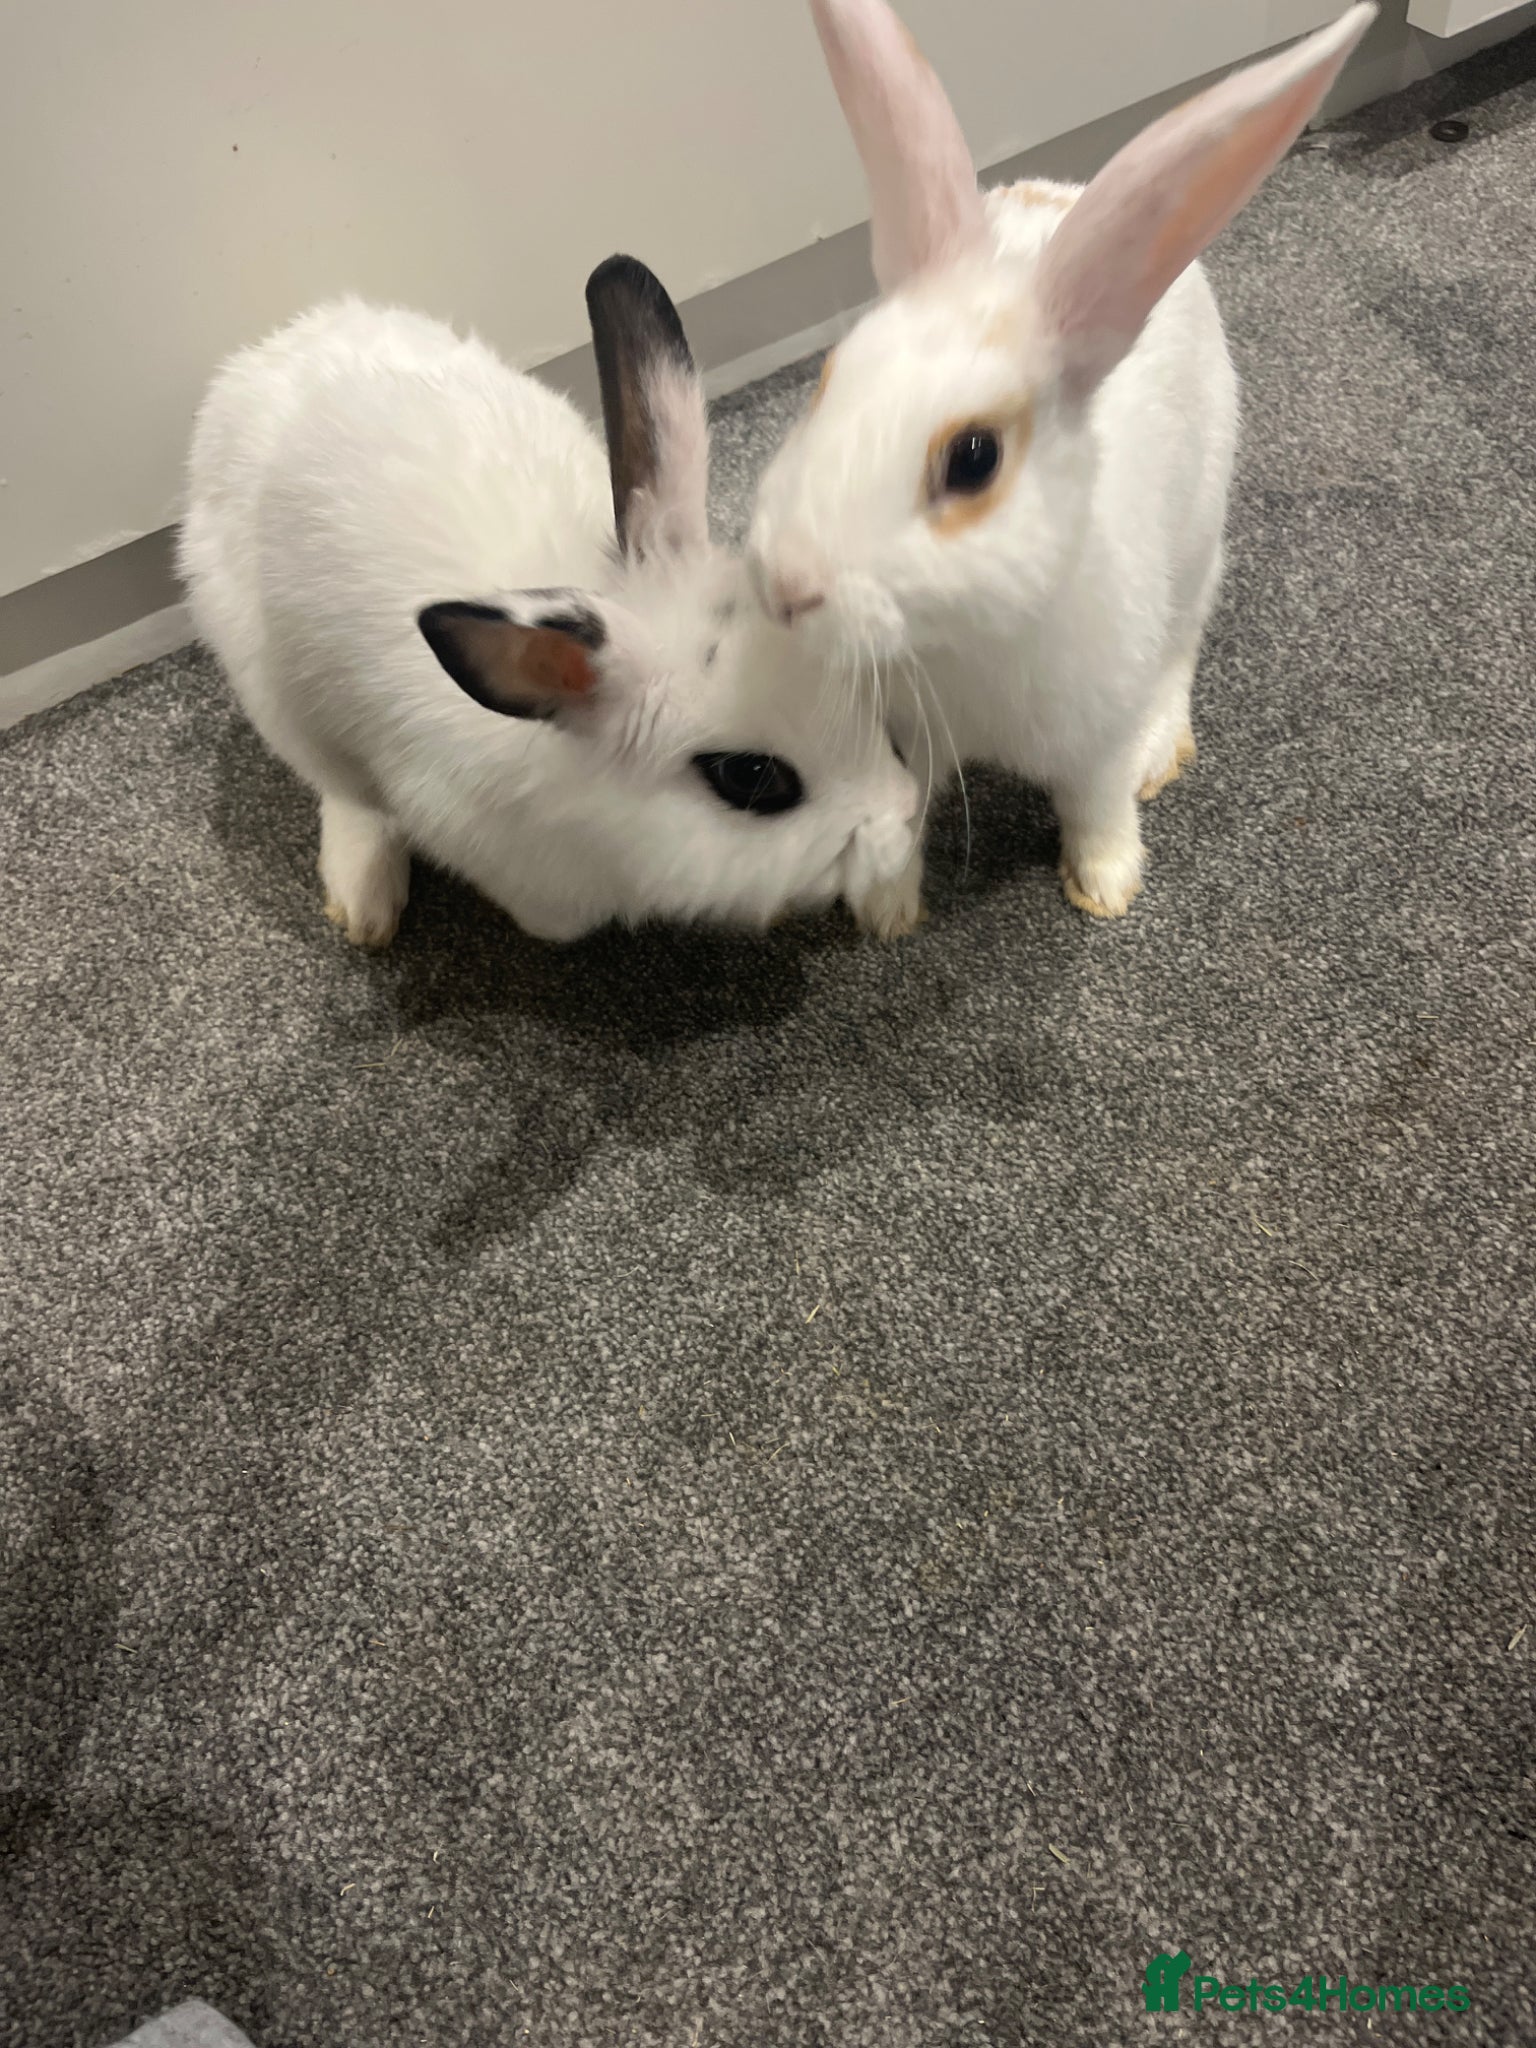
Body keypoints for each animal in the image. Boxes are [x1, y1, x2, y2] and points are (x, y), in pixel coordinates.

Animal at [179, 259, 919, 949]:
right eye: (751, 777)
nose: (904, 812)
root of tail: (265, 355)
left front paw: (893, 904)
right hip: (278, 699)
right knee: (344, 794)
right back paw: (364, 900)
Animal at [747, 1, 1377, 935]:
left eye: (974, 458)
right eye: (826, 379)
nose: (784, 585)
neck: (958, 646)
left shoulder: (1093, 737)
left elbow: (1097, 805)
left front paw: (1107, 885)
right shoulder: (894, 741)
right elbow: (898, 820)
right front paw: (888, 911)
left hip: (1196, 542)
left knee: (1182, 643)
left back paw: (1162, 749)